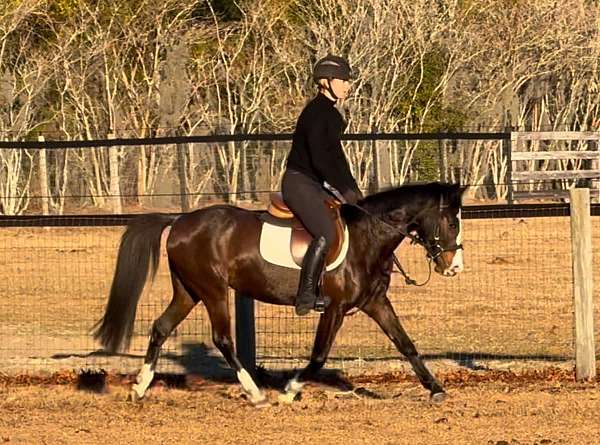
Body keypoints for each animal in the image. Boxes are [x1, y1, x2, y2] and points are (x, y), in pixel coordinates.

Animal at [95, 181, 468, 406]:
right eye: (452, 223)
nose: (454, 268)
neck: (368, 237)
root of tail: (180, 221)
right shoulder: (335, 308)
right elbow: (318, 357)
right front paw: (289, 391)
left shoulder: (375, 303)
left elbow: (406, 344)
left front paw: (436, 389)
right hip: (213, 290)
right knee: (222, 338)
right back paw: (255, 393)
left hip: (189, 291)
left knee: (160, 327)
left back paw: (140, 387)